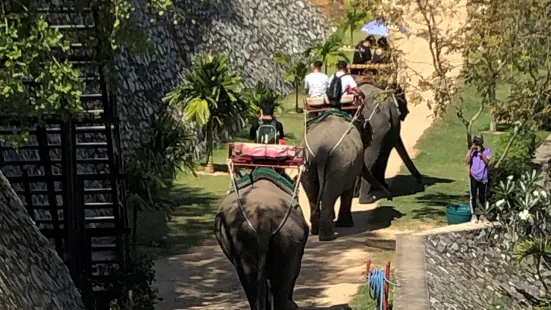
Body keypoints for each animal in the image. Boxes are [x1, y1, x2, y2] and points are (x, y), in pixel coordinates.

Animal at [298, 112, 392, 242]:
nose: (390, 198)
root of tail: (322, 152)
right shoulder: (350, 165)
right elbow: (348, 189)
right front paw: (346, 224)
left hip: (308, 165)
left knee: (312, 194)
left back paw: (316, 232)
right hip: (340, 163)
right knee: (329, 194)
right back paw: (328, 237)